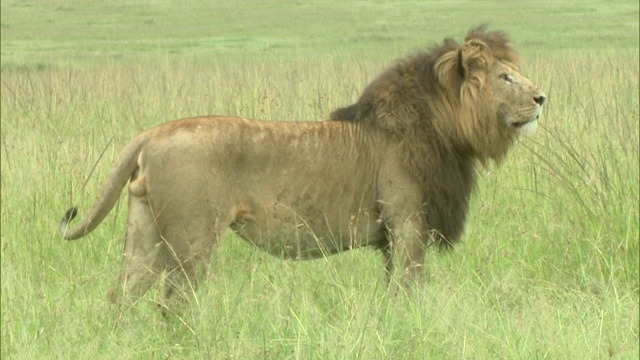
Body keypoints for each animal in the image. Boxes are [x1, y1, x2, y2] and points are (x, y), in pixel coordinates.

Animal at [58, 27, 544, 310]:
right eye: (505, 78)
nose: (543, 98)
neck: (444, 127)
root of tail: (152, 133)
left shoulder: (395, 233)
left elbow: (395, 290)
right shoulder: (407, 222)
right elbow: (408, 290)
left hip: (145, 233)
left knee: (121, 296)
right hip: (192, 238)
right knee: (173, 303)